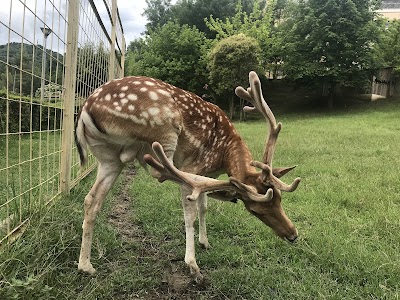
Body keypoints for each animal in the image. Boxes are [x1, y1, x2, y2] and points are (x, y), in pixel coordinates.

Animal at [75, 70, 300, 282]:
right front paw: (192, 264)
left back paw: (86, 266)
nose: (293, 234)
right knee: (160, 169)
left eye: (280, 199)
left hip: (108, 158)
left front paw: (205, 242)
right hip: (164, 130)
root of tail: (86, 110)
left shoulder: (205, 173)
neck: (224, 153)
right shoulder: (194, 168)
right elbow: (190, 214)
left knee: (91, 200)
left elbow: (203, 207)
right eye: (254, 210)